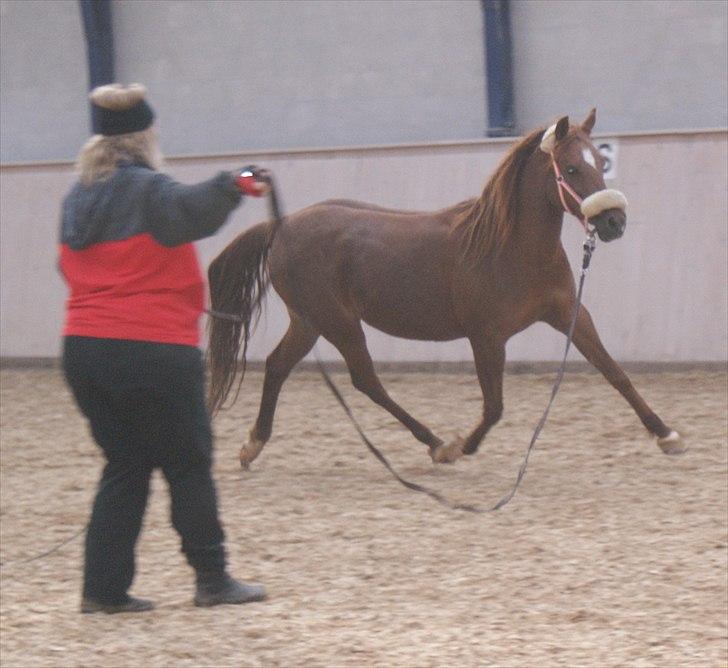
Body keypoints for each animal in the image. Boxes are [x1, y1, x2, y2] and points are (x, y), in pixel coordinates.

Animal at [206, 109, 684, 468]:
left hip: (308, 321)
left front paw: (666, 434)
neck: (511, 248)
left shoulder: (569, 313)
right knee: (366, 380)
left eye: (601, 164)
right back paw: (438, 444)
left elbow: (615, 372)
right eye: (570, 168)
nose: (614, 222)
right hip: (337, 321)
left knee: (277, 366)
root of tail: (282, 225)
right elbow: (494, 406)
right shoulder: (486, 336)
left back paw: (253, 445)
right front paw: (464, 447)